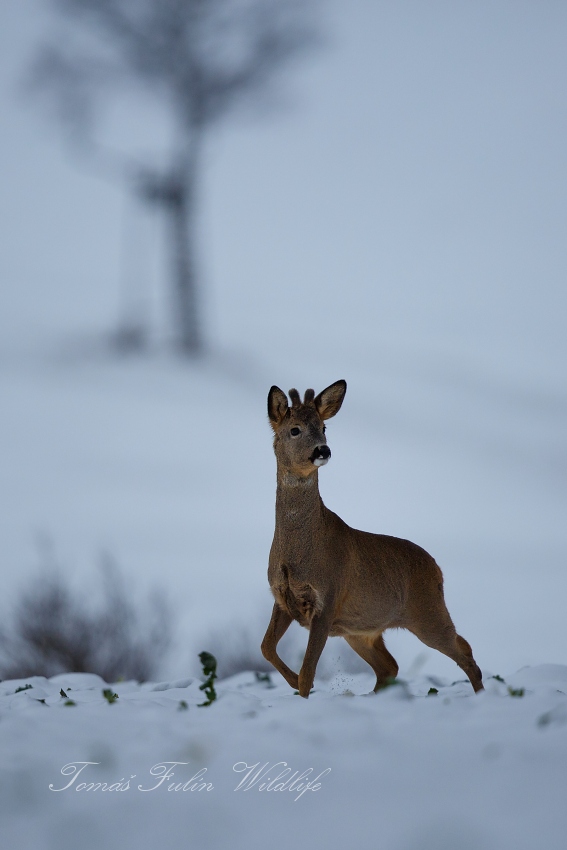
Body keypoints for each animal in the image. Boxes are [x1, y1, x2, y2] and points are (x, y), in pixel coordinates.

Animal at [262, 380, 484, 696]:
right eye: (295, 429)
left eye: (323, 427)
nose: (323, 450)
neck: (297, 553)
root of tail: (438, 569)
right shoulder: (282, 598)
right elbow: (266, 647)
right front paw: (292, 682)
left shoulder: (328, 598)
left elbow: (307, 671)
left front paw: (303, 690)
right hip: (361, 630)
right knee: (390, 666)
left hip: (427, 612)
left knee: (463, 649)